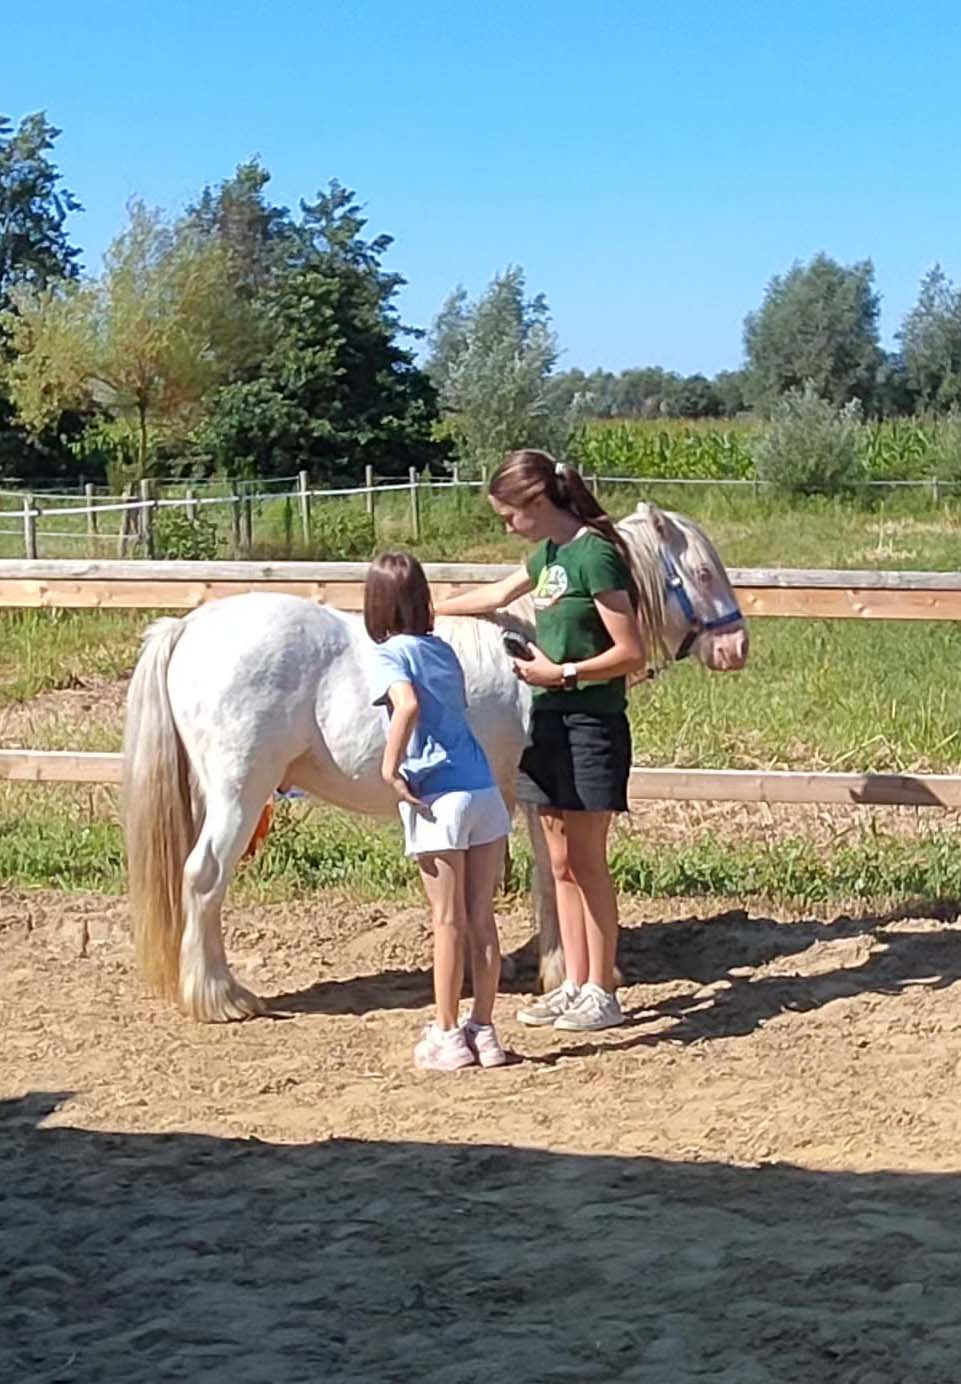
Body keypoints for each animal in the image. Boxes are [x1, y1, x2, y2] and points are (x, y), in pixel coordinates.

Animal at [122, 503, 753, 1024]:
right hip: (240, 794)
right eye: (702, 574)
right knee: (204, 876)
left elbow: (532, 880)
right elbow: (547, 880)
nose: (736, 647)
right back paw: (221, 997)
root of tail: (187, 626)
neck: (531, 651)